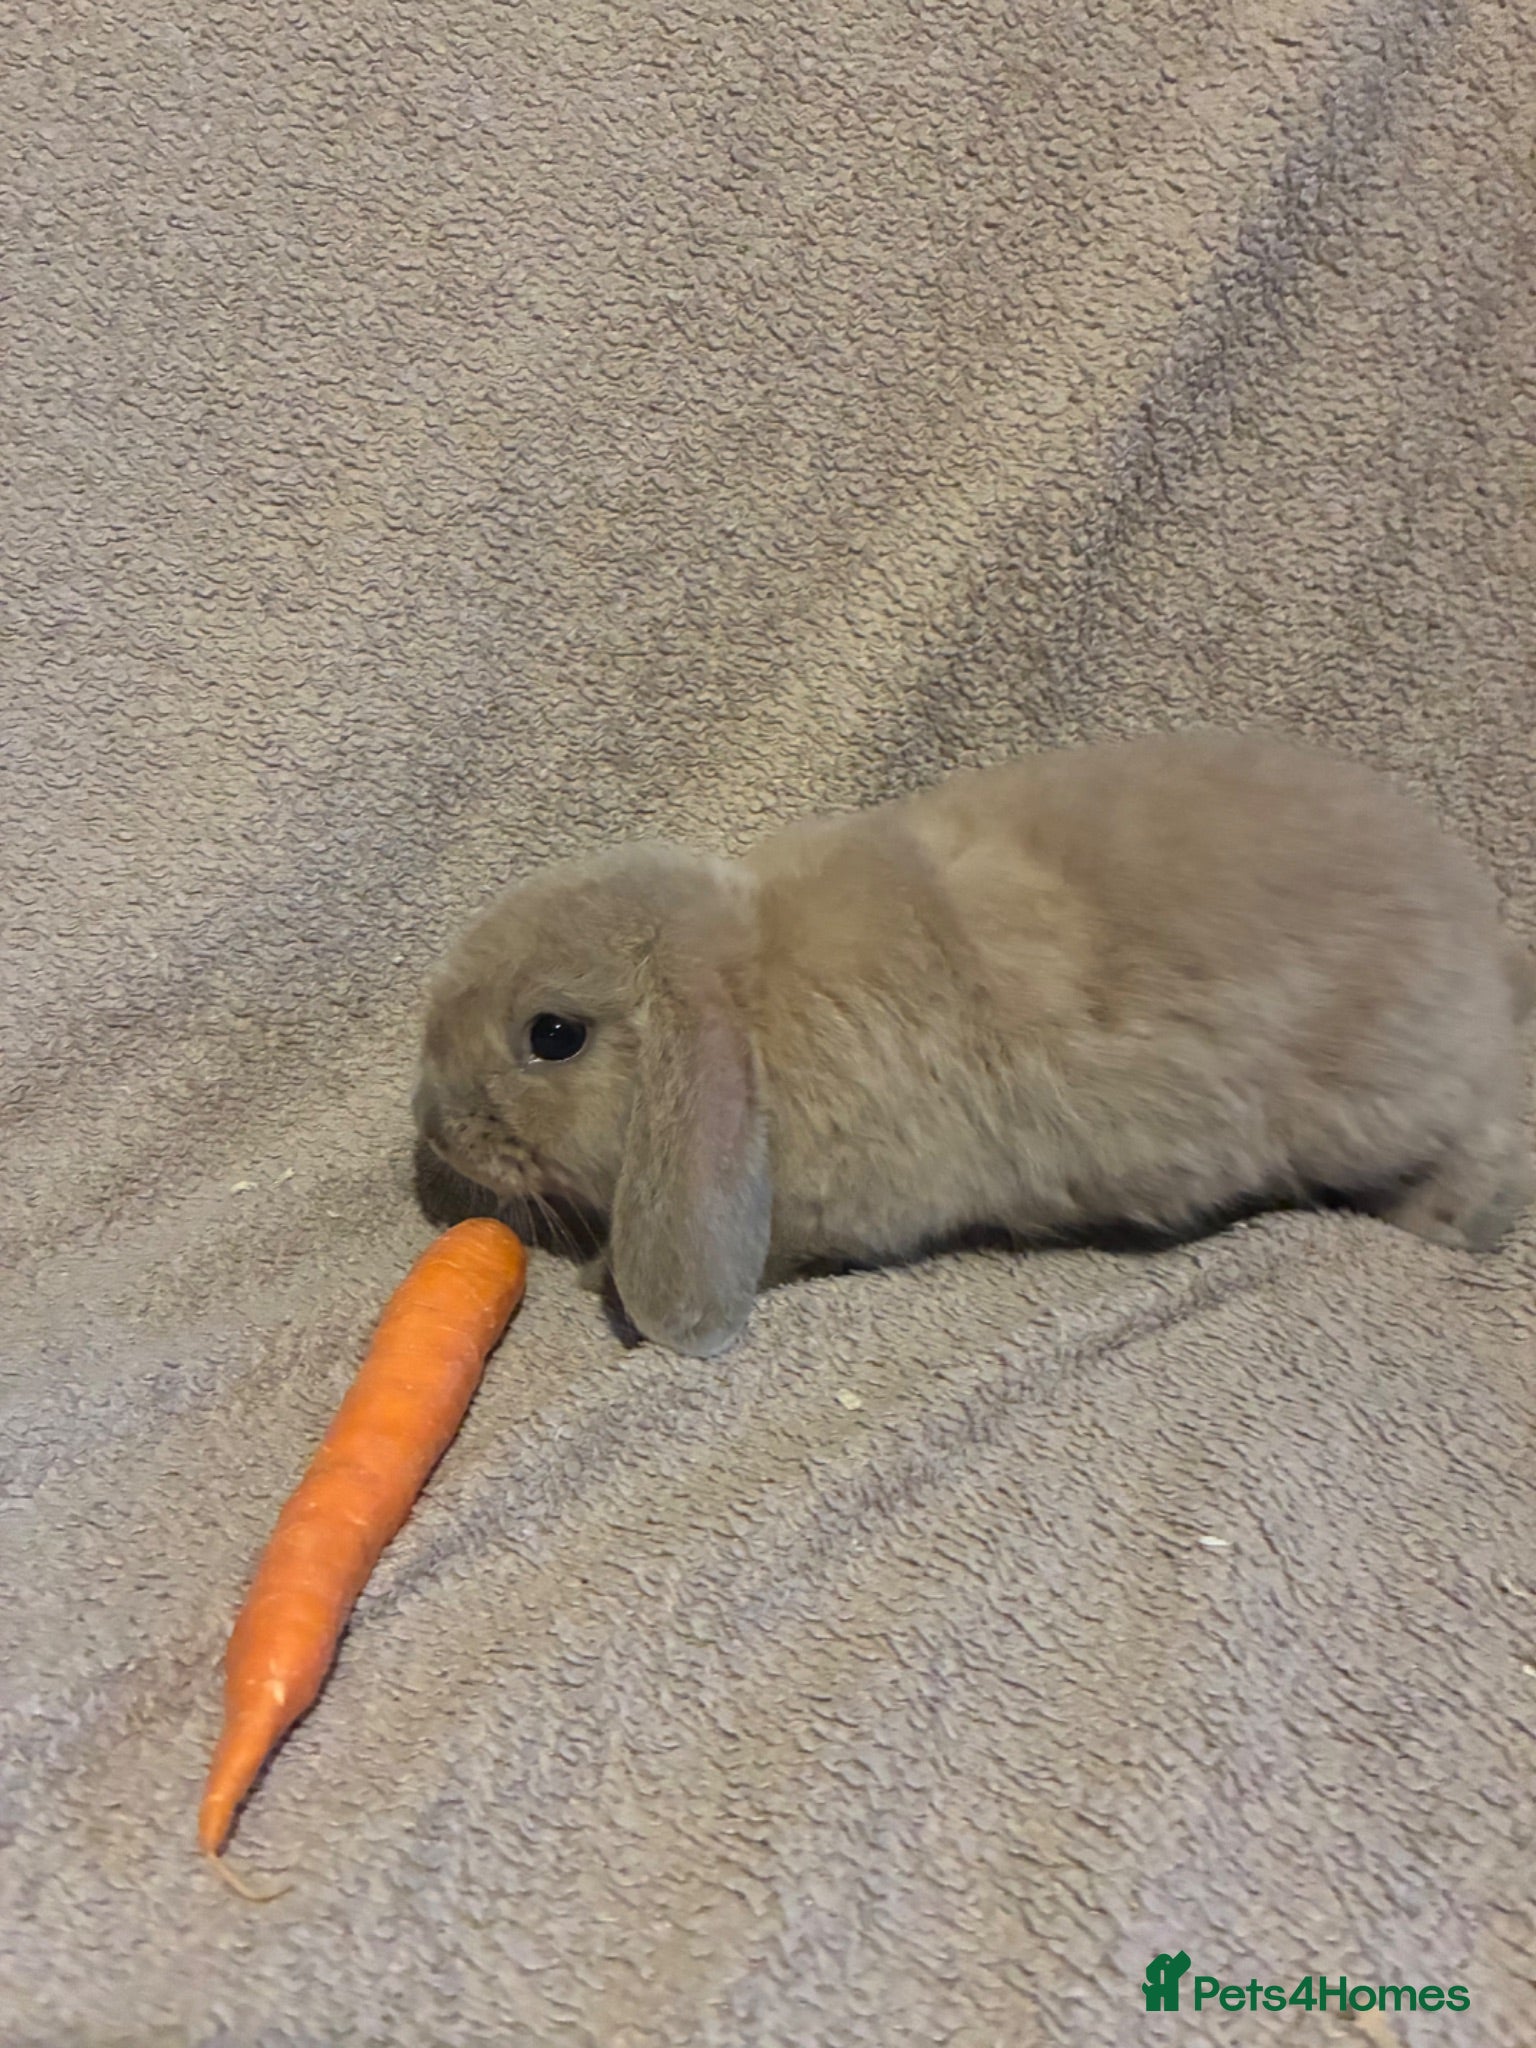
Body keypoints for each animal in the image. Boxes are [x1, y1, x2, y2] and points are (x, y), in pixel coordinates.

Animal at [414, 730, 1533, 1357]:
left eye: (552, 1035)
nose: (434, 1127)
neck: (750, 988)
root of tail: (1482, 945)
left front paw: (602, 1272)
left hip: (1387, 1102)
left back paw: (1452, 1221)